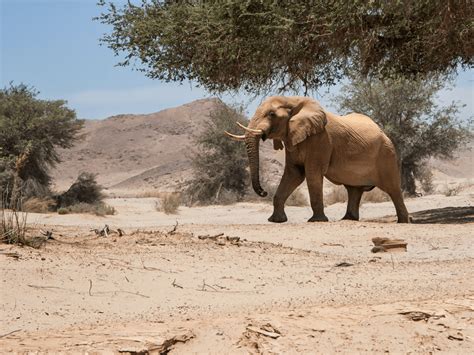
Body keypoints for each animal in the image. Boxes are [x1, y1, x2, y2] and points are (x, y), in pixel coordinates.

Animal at [224, 96, 410, 224]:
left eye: (271, 114)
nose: (263, 192)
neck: (293, 100)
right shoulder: (292, 139)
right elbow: (293, 174)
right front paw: (276, 221)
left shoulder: (320, 140)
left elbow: (312, 174)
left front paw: (317, 220)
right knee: (354, 190)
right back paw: (347, 219)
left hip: (387, 154)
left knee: (393, 189)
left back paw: (403, 222)